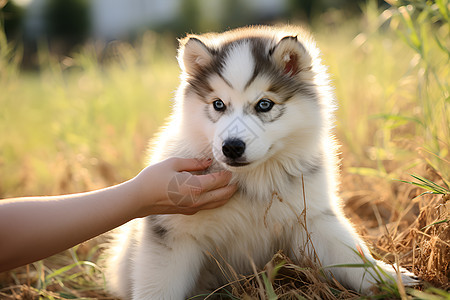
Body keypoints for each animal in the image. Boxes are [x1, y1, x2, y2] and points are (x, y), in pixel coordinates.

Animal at [106, 26, 418, 300]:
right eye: (218, 104)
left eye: (264, 104)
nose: (231, 147)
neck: (253, 179)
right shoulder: (173, 233)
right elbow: (158, 287)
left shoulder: (312, 217)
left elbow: (351, 255)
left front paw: (389, 278)